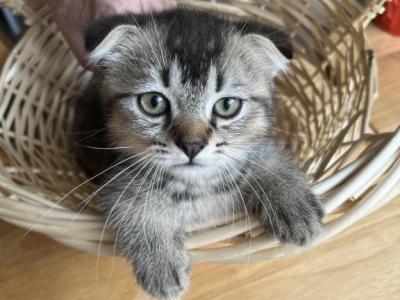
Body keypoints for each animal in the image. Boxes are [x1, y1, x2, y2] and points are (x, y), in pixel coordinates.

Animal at [73, 8, 324, 298]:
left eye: (227, 105)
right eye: (153, 102)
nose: (192, 145)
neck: (197, 187)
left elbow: (262, 156)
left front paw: (294, 202)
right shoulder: (115, 173)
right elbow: (131, 202)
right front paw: (160, 261)